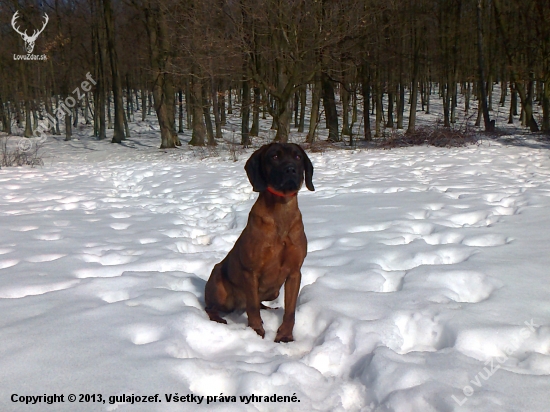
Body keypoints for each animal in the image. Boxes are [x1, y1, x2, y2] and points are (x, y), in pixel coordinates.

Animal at [205, 143, 314, 342]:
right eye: (274, 156)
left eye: (297, 157)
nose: (291, 170)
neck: (281, 213)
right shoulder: (251, 271)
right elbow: (253, 307)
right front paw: (256, 332)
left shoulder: (295, 272)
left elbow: (290, 311)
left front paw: (285, 336)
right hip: (220, 286)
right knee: (211, 307)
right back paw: (218, 319)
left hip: (273, 292)